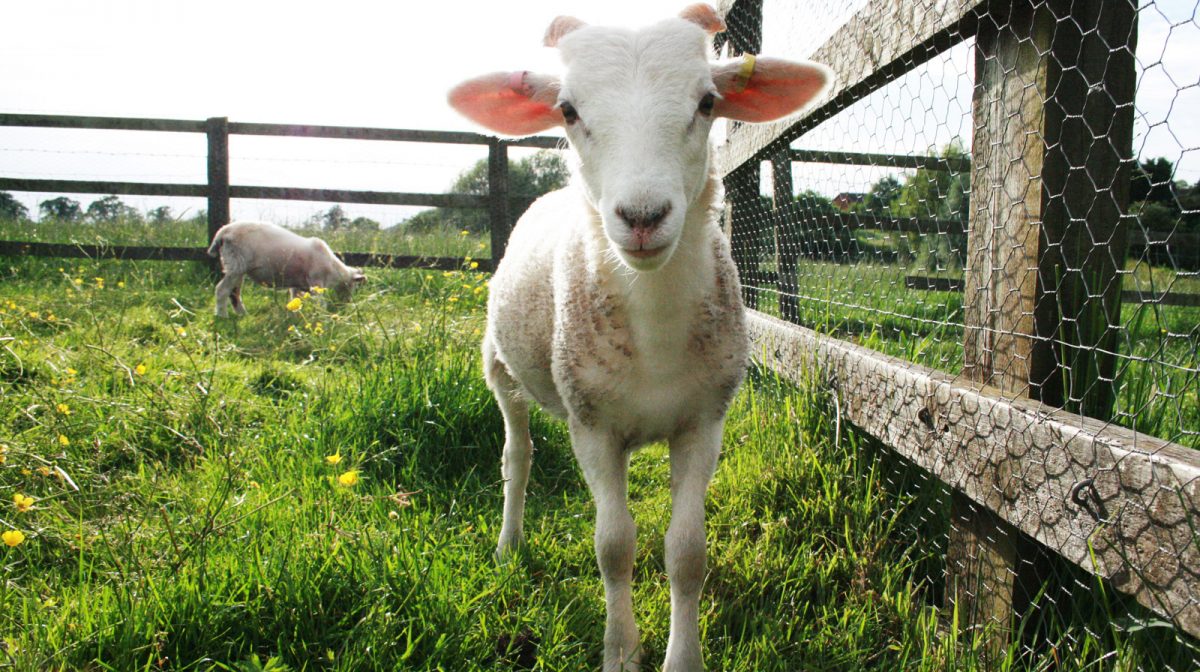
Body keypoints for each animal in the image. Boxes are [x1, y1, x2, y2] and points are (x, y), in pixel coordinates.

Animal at [207, 220, 364, 314]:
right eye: (353, 287)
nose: (345, 305)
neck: (334, 269)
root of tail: (222, 232)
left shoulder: (298, 285)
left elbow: (295, 300)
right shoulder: (316, 282)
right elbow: (321, 303)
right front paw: (322, 317)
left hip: (237, 267)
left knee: (234, 293)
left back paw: (243, 315)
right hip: (236, 265)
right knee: (222, 290)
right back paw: (222, 316)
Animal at [446, 3, 830, 667]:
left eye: (707, 101)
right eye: (568, 110)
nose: (643, 217)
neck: (655, 333)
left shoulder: (703, 422)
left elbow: (687, 553)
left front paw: (683, 656)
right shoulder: (592, 426)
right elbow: (614, 547)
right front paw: (621, 652)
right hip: (498, 365)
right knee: (517, 456)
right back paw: (508, 545)